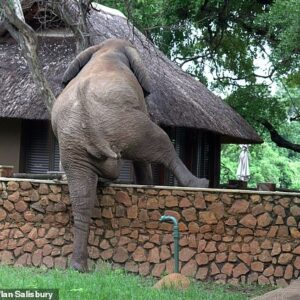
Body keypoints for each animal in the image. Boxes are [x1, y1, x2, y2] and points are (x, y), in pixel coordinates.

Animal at [51, 38, 209, 272]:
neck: (106, 49)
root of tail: (87, 112)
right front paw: (148, 185)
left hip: (73, 144)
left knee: (82, 196)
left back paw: (79, 267)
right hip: (128, 123)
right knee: (161, 141)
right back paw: (200, 183)